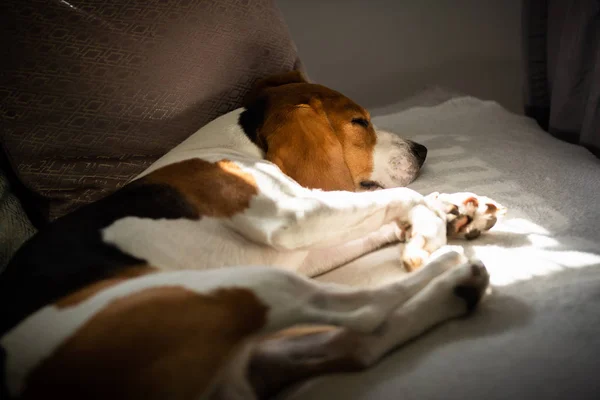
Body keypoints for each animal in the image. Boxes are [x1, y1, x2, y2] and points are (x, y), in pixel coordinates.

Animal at [0, 72, 504, 400]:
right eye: (360, 123)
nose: (423, 150)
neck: (235, 145)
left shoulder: (310, 240)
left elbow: (379, 213)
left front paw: (456, 209)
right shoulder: (294, 217)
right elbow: (397, 197)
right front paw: (430, 223)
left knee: (360, 342)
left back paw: (458, 289)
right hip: (232, 290)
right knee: (362, 310)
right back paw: (449, 268)